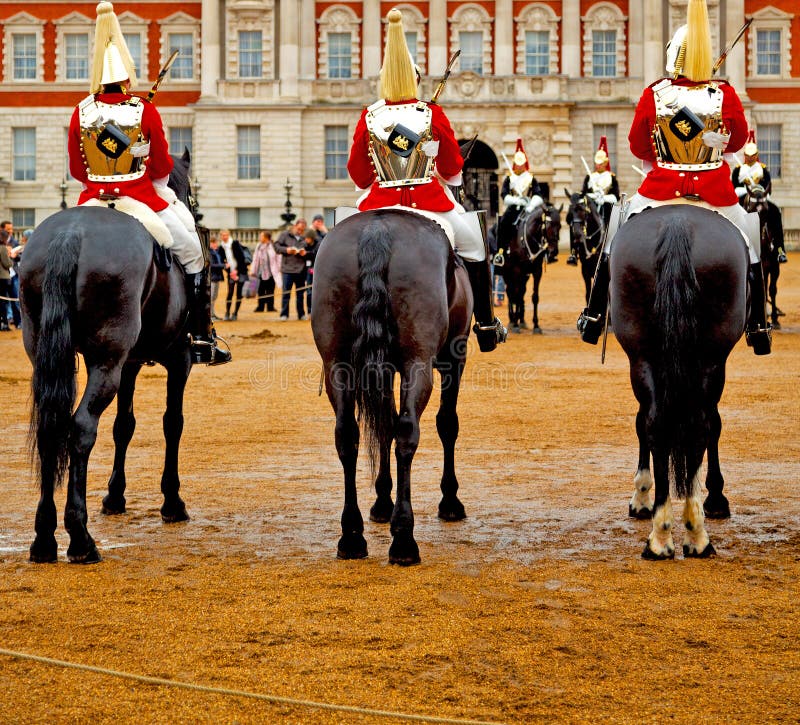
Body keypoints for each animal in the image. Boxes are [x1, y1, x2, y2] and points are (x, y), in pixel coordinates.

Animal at [21, 150, 198, 564]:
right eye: (190, 195)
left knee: (52, 428)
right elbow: (172, 423)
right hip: (107, 362)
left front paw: (115, 497)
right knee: (81, 427)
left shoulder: (129, 363)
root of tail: (70, 233)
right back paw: (81, 539)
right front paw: (172, 502)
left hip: (53, 357)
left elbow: (125, 425)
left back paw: (44, 539)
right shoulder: (178, 358)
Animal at [310, 206, 476, 564]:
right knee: (408, 434)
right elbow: (447, 424)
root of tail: (378, 228)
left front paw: (381, 502)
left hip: (337, 365)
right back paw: (403, 539)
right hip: (419, 363)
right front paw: (449, 500)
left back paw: (352, 536)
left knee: (347, 435)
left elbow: (382, 426)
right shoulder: (453, 358)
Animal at [612, 206, 752, 556]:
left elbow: (645, 424)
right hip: (706, 358)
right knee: (695, 425)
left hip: (645, 356)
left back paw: (662, 536)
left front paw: (644, 497)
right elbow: (713, 425)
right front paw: (714, 496)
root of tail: (678, 223)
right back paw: (691, 531)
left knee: (658, 423)